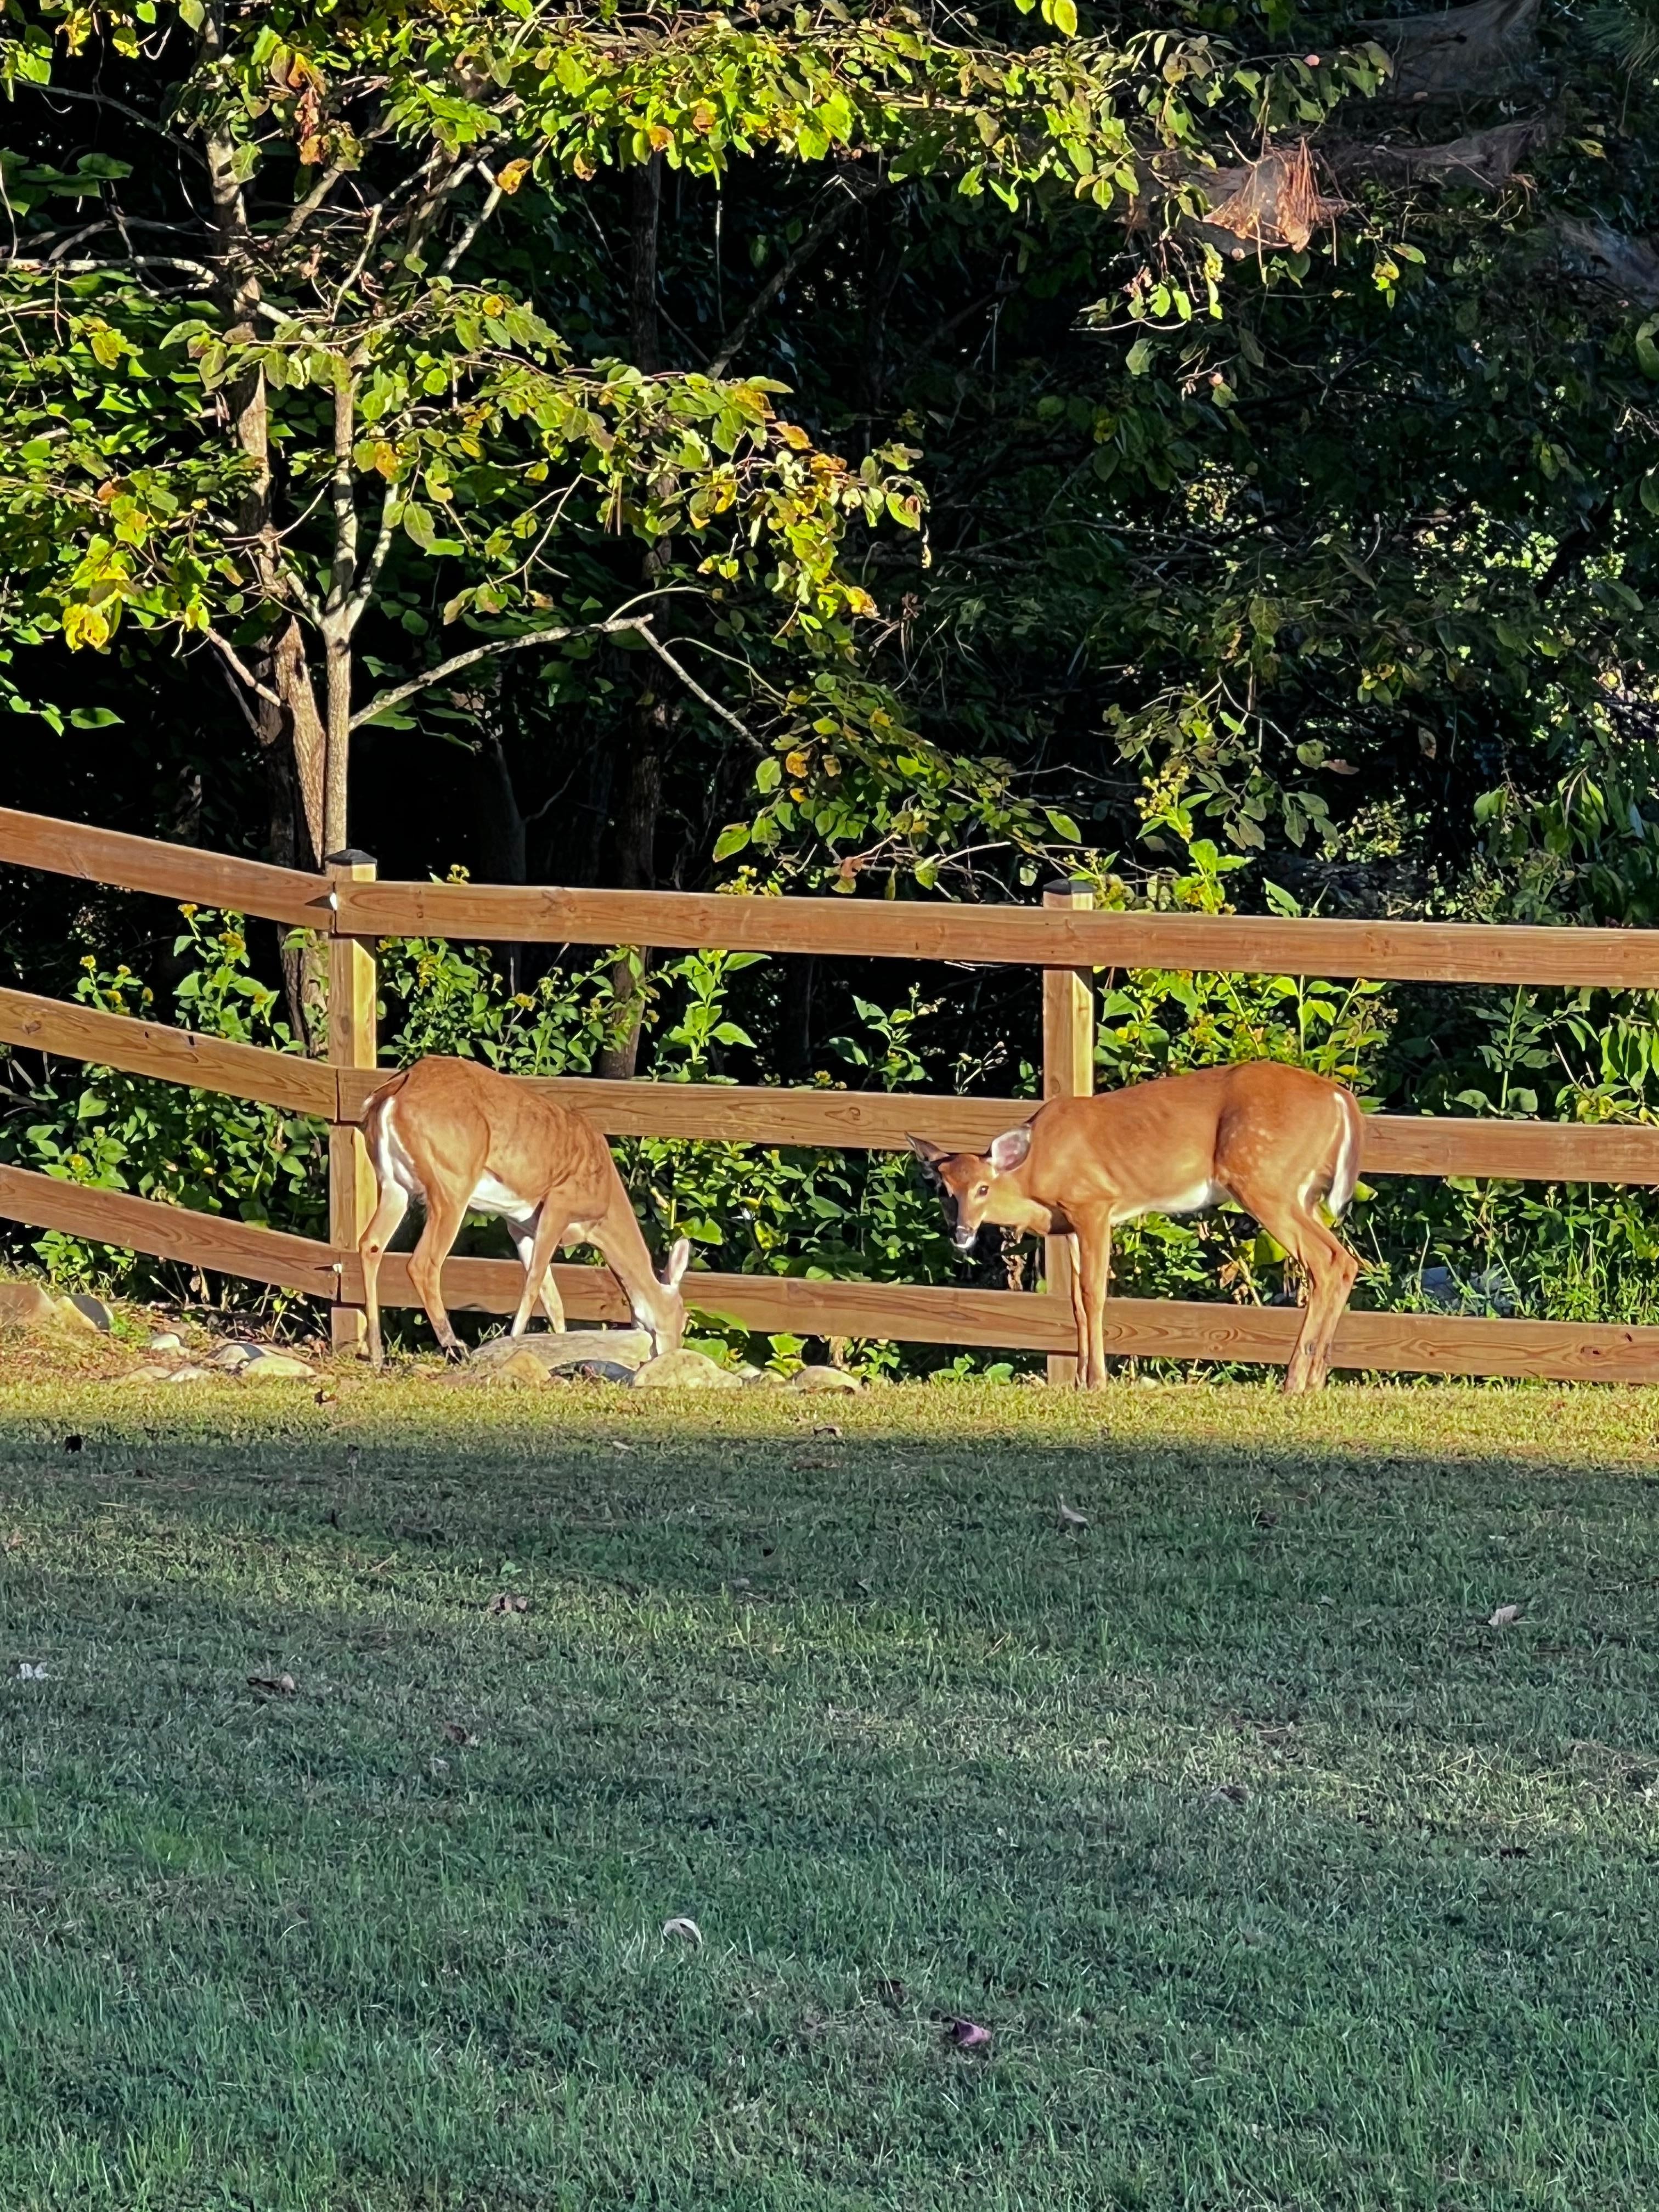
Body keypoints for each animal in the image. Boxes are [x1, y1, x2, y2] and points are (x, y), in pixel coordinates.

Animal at [356, 1056, 691, 1370]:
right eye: (684, 1316)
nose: (672, 1353)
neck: (604, 1206)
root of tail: (396, 1090)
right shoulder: (559, 1203)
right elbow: (533, 1284)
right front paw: (515, 1344)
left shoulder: (522, 1226)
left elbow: (552, 1299)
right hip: (452, 1181)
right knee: (423, 1263)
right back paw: (456, 1348)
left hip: (394, 1183)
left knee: (370, 1244)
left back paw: (376, 1354)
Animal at [910, 1060, 1364, 1394]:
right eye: (942, 1190)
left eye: (983, 1188)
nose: (962, 1234)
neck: (1034, 1175)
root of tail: (1340, 1098)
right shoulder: (1069, 1224)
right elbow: (1075, 1301)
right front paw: (1079, 1379)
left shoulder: (1093, 1203)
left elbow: (1094, 1294)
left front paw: (1096, 1381)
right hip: (1301, 1193)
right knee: (1345, 1260)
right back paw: (1315, 1379)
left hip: (1265, 1181)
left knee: (1326, 1261)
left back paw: (1294, 1380)